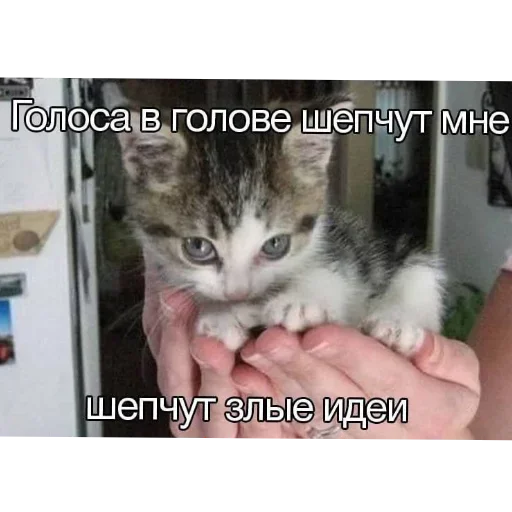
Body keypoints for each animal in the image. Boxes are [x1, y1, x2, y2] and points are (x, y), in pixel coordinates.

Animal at [115, 91, 446, 358]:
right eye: (197, 247)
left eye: (276, 245)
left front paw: (301, 299)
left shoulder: (347, 236)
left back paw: (397, 323)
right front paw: (223, 315)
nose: (238, 293)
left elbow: (340, 263)